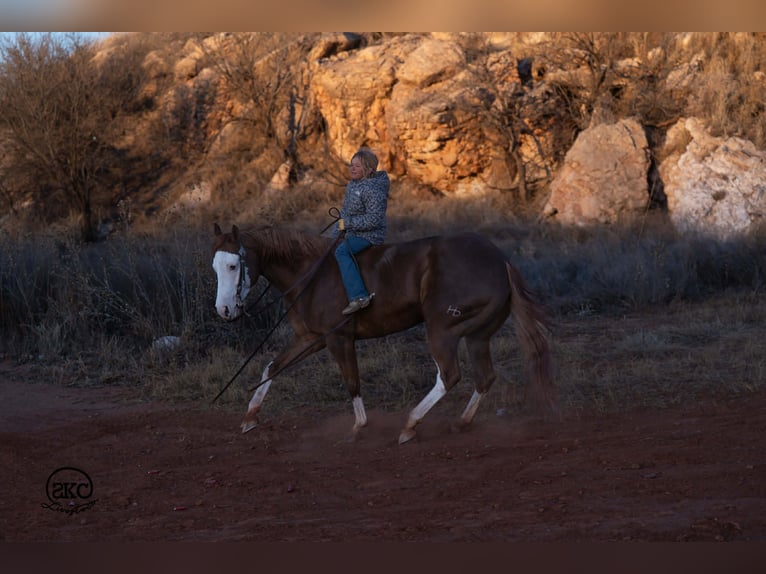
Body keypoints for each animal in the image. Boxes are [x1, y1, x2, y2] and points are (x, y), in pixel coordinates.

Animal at [212, 223, 557, 444]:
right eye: (214, 266)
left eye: (233, 265)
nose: (224, 310)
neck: (310, 273)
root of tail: (500, 260)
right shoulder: (311, 338)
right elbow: (272, 368)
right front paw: (250, 417)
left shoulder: (339, 339)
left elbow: (352, 381)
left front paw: (358, 427)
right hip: (477, 336)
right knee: (484, 377)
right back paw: (460, 422)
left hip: (442, 330)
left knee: (449, 375)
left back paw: (411, 424)